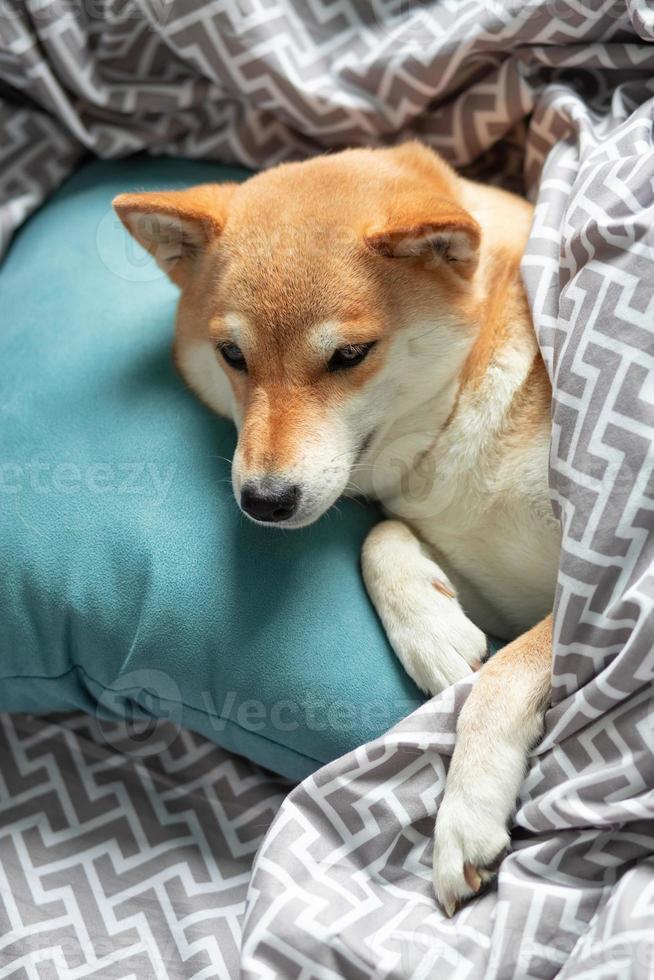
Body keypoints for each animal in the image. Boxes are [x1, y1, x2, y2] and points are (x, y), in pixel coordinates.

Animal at [114, 142, 564, 916]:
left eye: (350, 355)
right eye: (232, 355)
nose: (264, 499)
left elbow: (508, 671)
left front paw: (467, 806)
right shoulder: (485, 568)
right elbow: (378, 542)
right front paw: (431, 631)